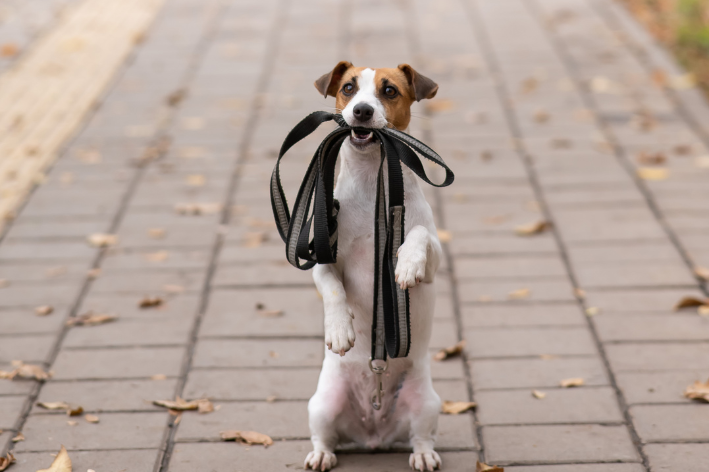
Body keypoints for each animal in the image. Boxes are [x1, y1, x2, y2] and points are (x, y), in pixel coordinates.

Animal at [302, 60, 442, 470]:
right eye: (348, 88)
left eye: (389, 90)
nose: (362, 111)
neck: (370, 184)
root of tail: (373, 434)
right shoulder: (320, 257)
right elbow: (332, 287)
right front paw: (339, 329)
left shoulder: (435, 259)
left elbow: (419, 237)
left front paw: (407, 265)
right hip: (322, 403)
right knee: (324, 435)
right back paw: (321, 454)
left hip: (426, 403)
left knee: (420, 435)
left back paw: (423, 455)